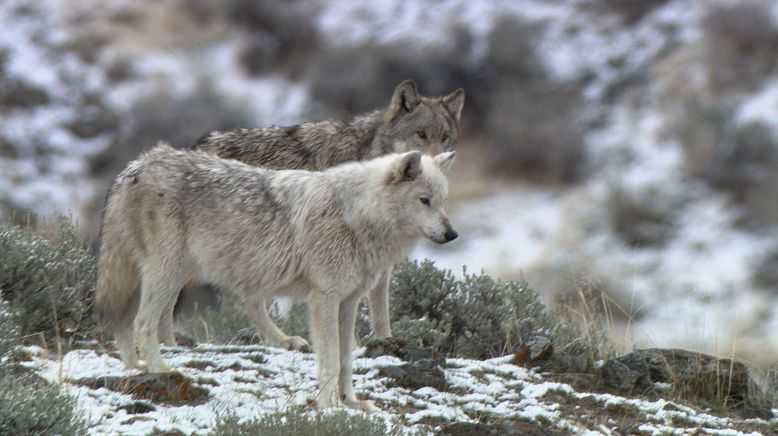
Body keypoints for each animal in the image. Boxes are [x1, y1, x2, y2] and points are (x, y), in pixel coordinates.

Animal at [94, 144, 458, 412]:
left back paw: (136, 369)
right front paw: (329, 405)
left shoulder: (349, 302)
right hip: (168, 273)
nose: (452, 234)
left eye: (443, 202)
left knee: (127, 322)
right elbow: (330, 359)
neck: (354, 216)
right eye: (424, 201)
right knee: (143, 322)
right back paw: (160, 370)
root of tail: (136, 165)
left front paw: (352, 402)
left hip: (169, 274)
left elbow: (346, 361)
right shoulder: (324, 299)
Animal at [183, 79, 464, 348]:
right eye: (421, 134)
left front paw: (384, 341)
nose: (437, 163)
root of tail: (196, 146)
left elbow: (380, 311)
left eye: (445, 137)